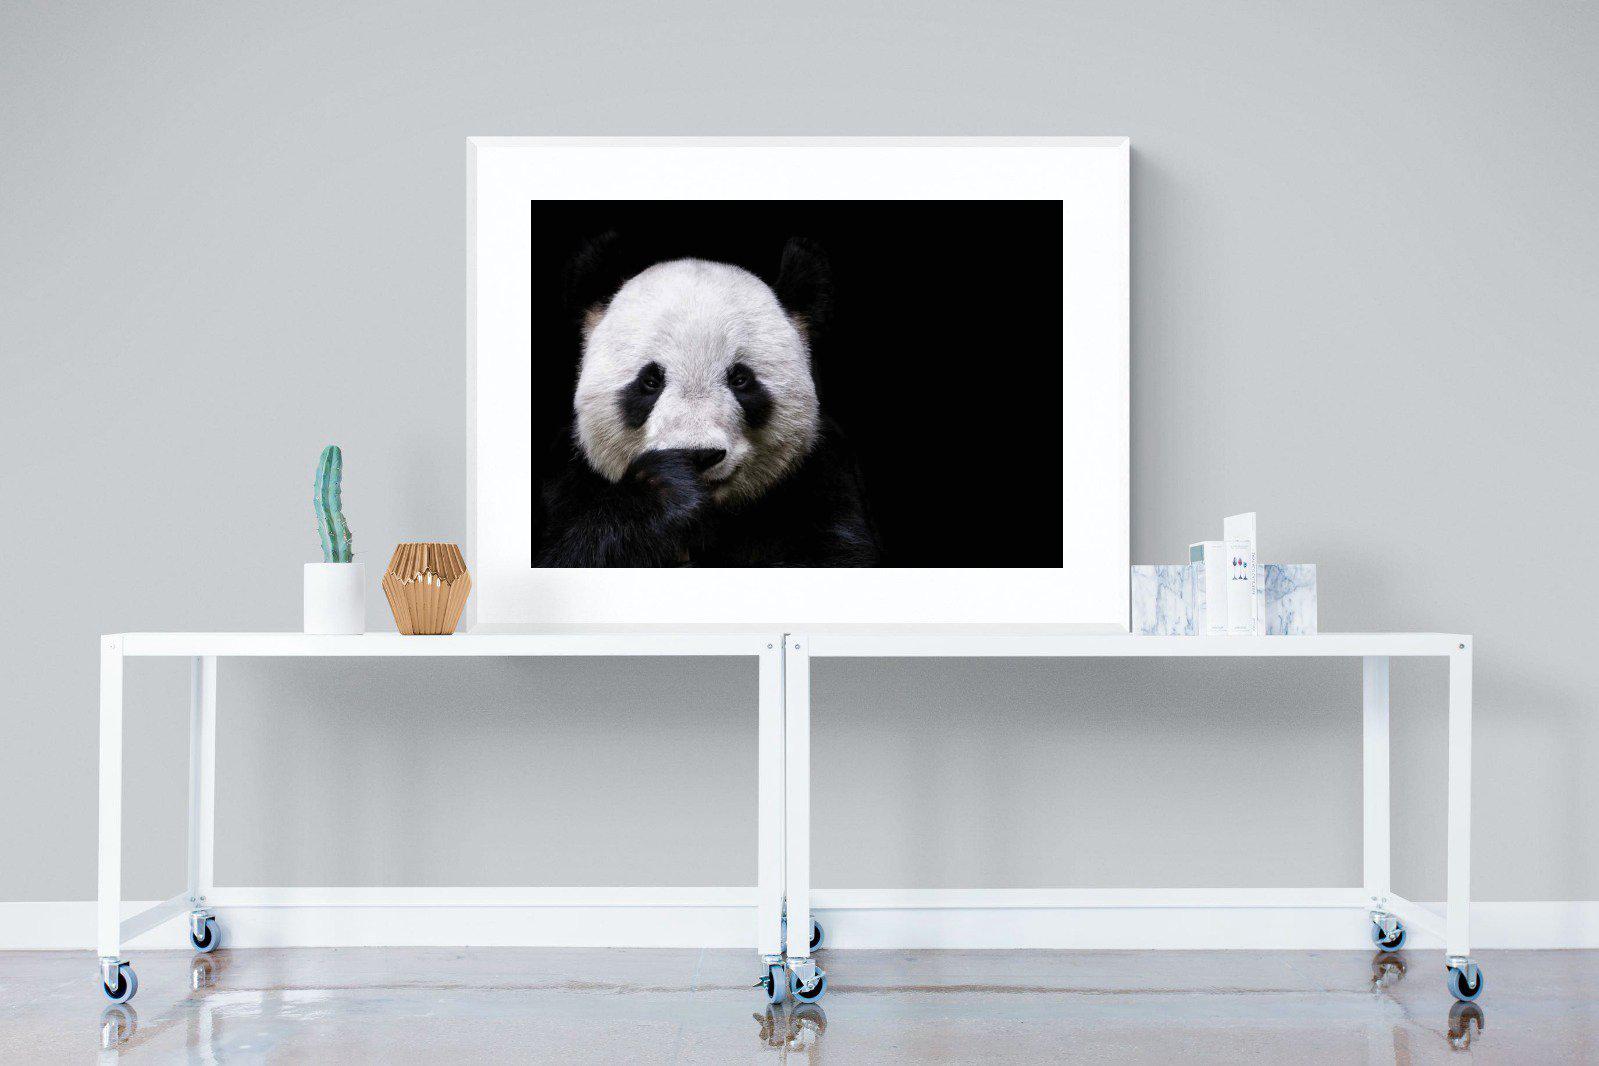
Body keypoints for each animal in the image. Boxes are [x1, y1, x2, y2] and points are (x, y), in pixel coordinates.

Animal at [533, 235, 882, 567]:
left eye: (740, 379)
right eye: (650, 381)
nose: (698, 455)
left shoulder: (821, 480)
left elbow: (834, 555)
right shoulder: (567, 483)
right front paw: (665, 489)